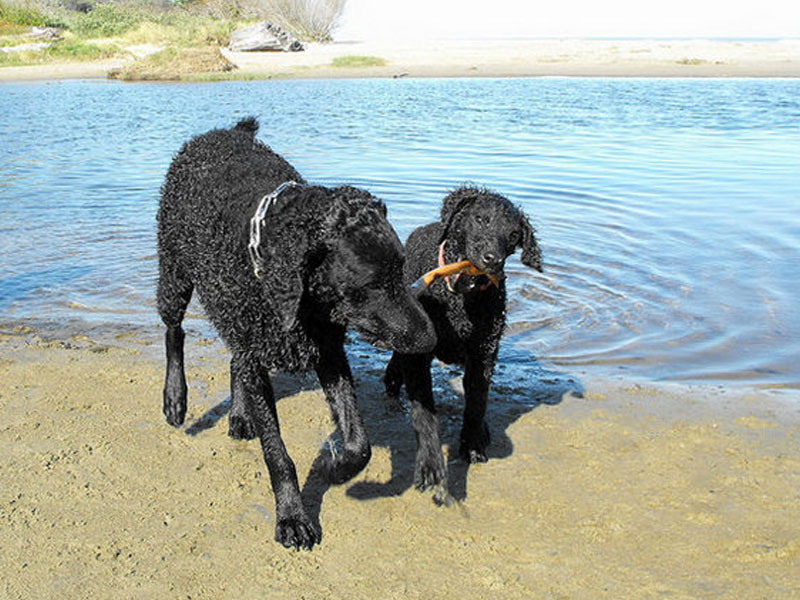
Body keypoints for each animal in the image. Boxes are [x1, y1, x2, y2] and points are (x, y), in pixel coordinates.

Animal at [154, 118, 434, 552]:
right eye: (370, 284)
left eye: (401, 267)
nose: (430, 339)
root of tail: (225, 131)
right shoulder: (271, 349)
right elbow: (278, 455)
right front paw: (292, 517)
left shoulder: (327, 350)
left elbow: (360, 444)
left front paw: (336, 469)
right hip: (175, 272)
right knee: (174, 332)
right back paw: (175, 399)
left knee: (234, 359)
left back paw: (240, 415)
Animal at [382, 186, 544, 492]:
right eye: (480, 219)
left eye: (513, 235)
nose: (492, 259)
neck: (460, 299)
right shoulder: (419, 357)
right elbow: (424, 413)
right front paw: (430, 464)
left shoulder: (484, 353)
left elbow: (476, 403)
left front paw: (471, 445)